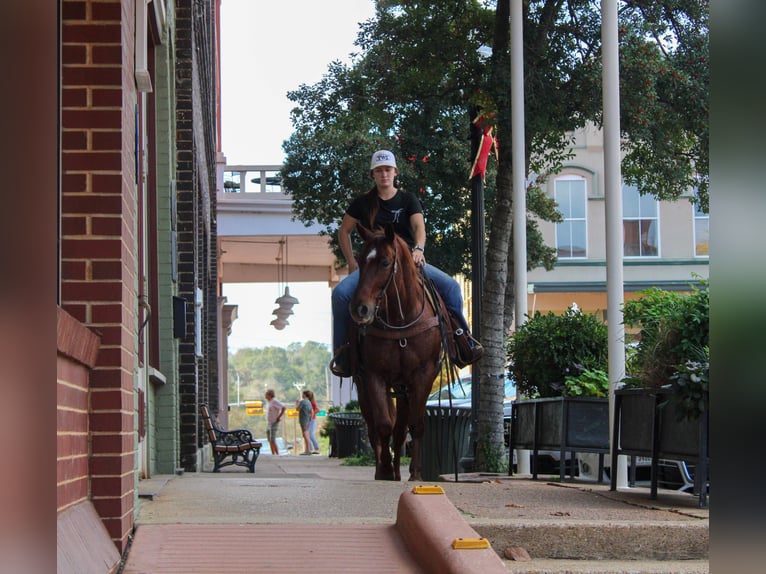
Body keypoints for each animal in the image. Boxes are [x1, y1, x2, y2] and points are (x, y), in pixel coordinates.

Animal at [349, 224, 447, 481]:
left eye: (385, 262)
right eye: (359, 260)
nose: (360, 309)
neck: (401, 319)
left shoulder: (423, 375)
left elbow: (416, 425)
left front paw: (416, 473)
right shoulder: (374, 375)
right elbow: (383, 425)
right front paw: (383, 470)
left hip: (404, 388)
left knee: (402, 428)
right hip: (366, 387)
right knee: (375, 427)